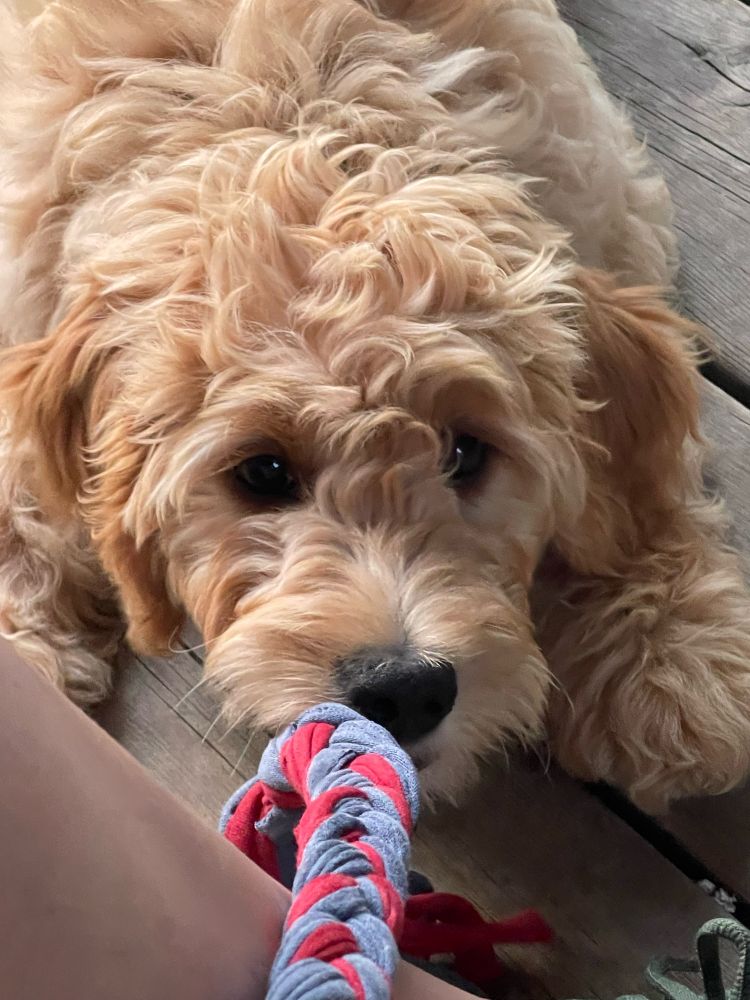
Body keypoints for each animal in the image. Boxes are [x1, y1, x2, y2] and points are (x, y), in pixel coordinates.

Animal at [2, 0, 750, 811]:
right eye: (262, 472)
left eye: (467, 451)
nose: (405, 690)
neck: (298, 109)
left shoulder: (609, 205)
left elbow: (646, 474)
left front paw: (668, 654)